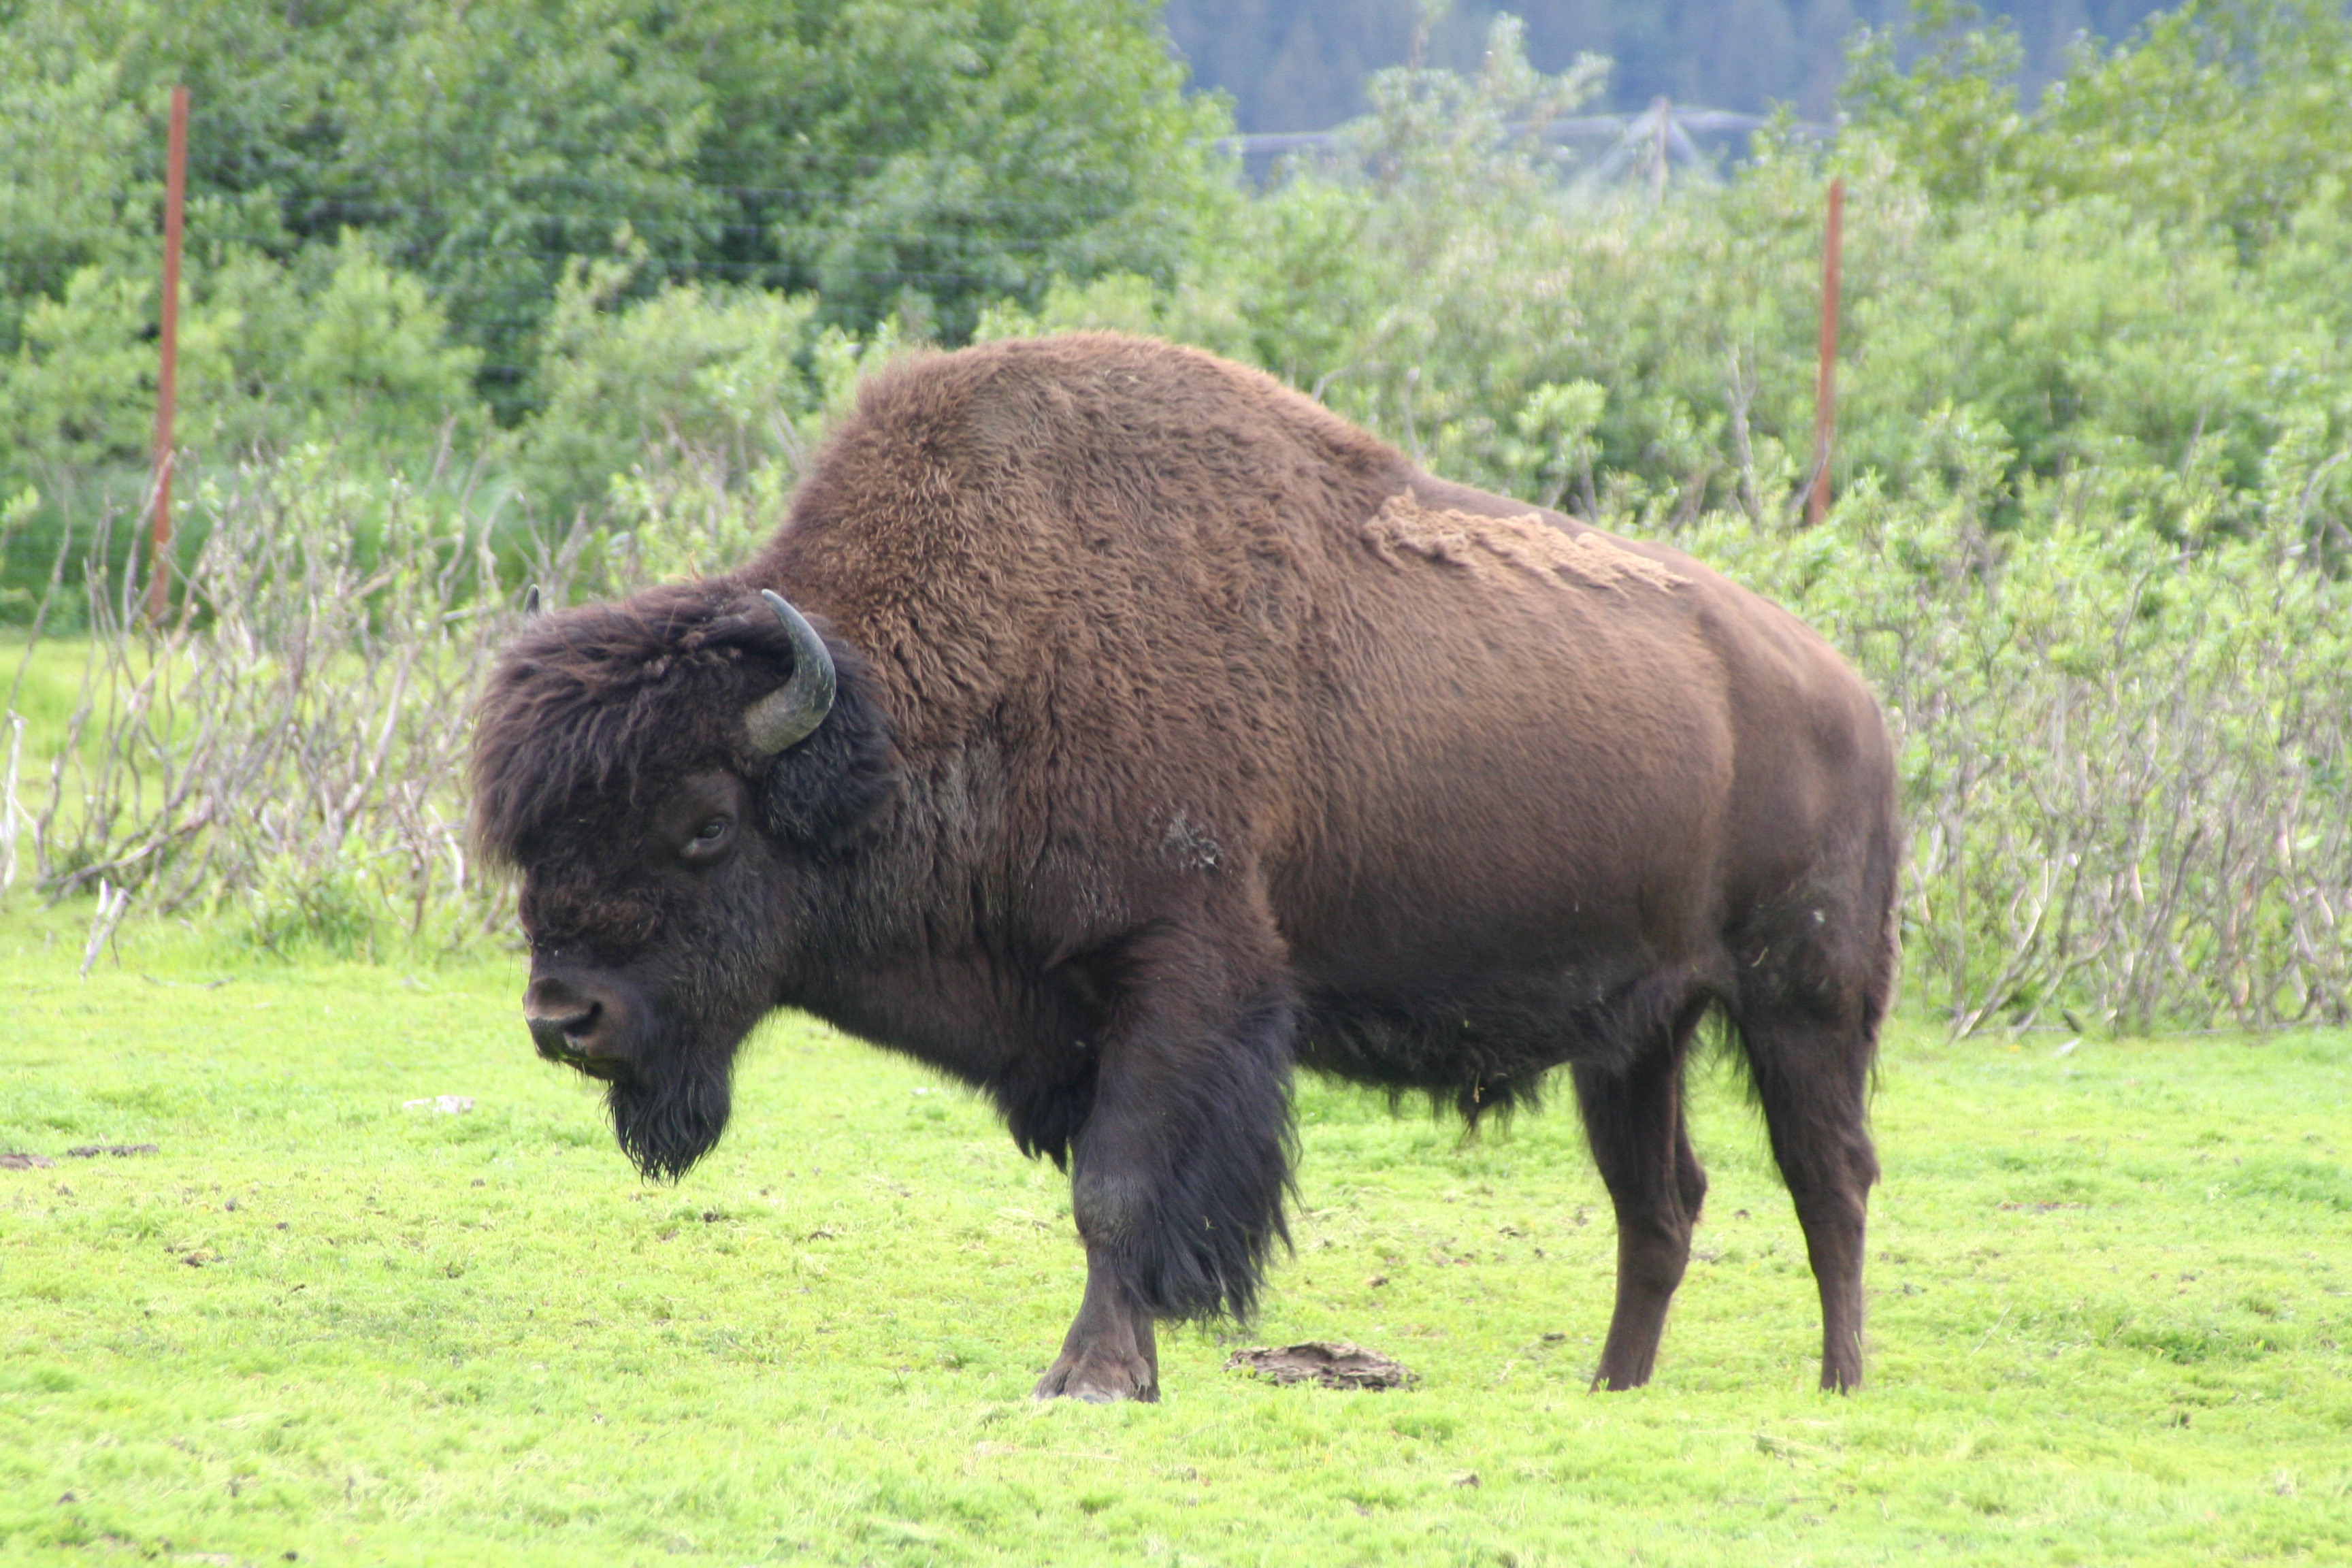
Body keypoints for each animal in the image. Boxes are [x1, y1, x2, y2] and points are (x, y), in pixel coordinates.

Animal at [472, 333, 1899, 1400]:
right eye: (536, 838)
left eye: (704, 822)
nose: (563, 1016)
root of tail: (1848, 698)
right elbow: (1119, 1190)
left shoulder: (1180, 973)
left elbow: (1120, 1189)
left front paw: (1094, 1375)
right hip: (1636, 1035)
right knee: (1659, 1200)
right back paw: (1614, 1385)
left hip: (1803, 1001)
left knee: (1828, 1176)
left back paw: (1838, 1382)